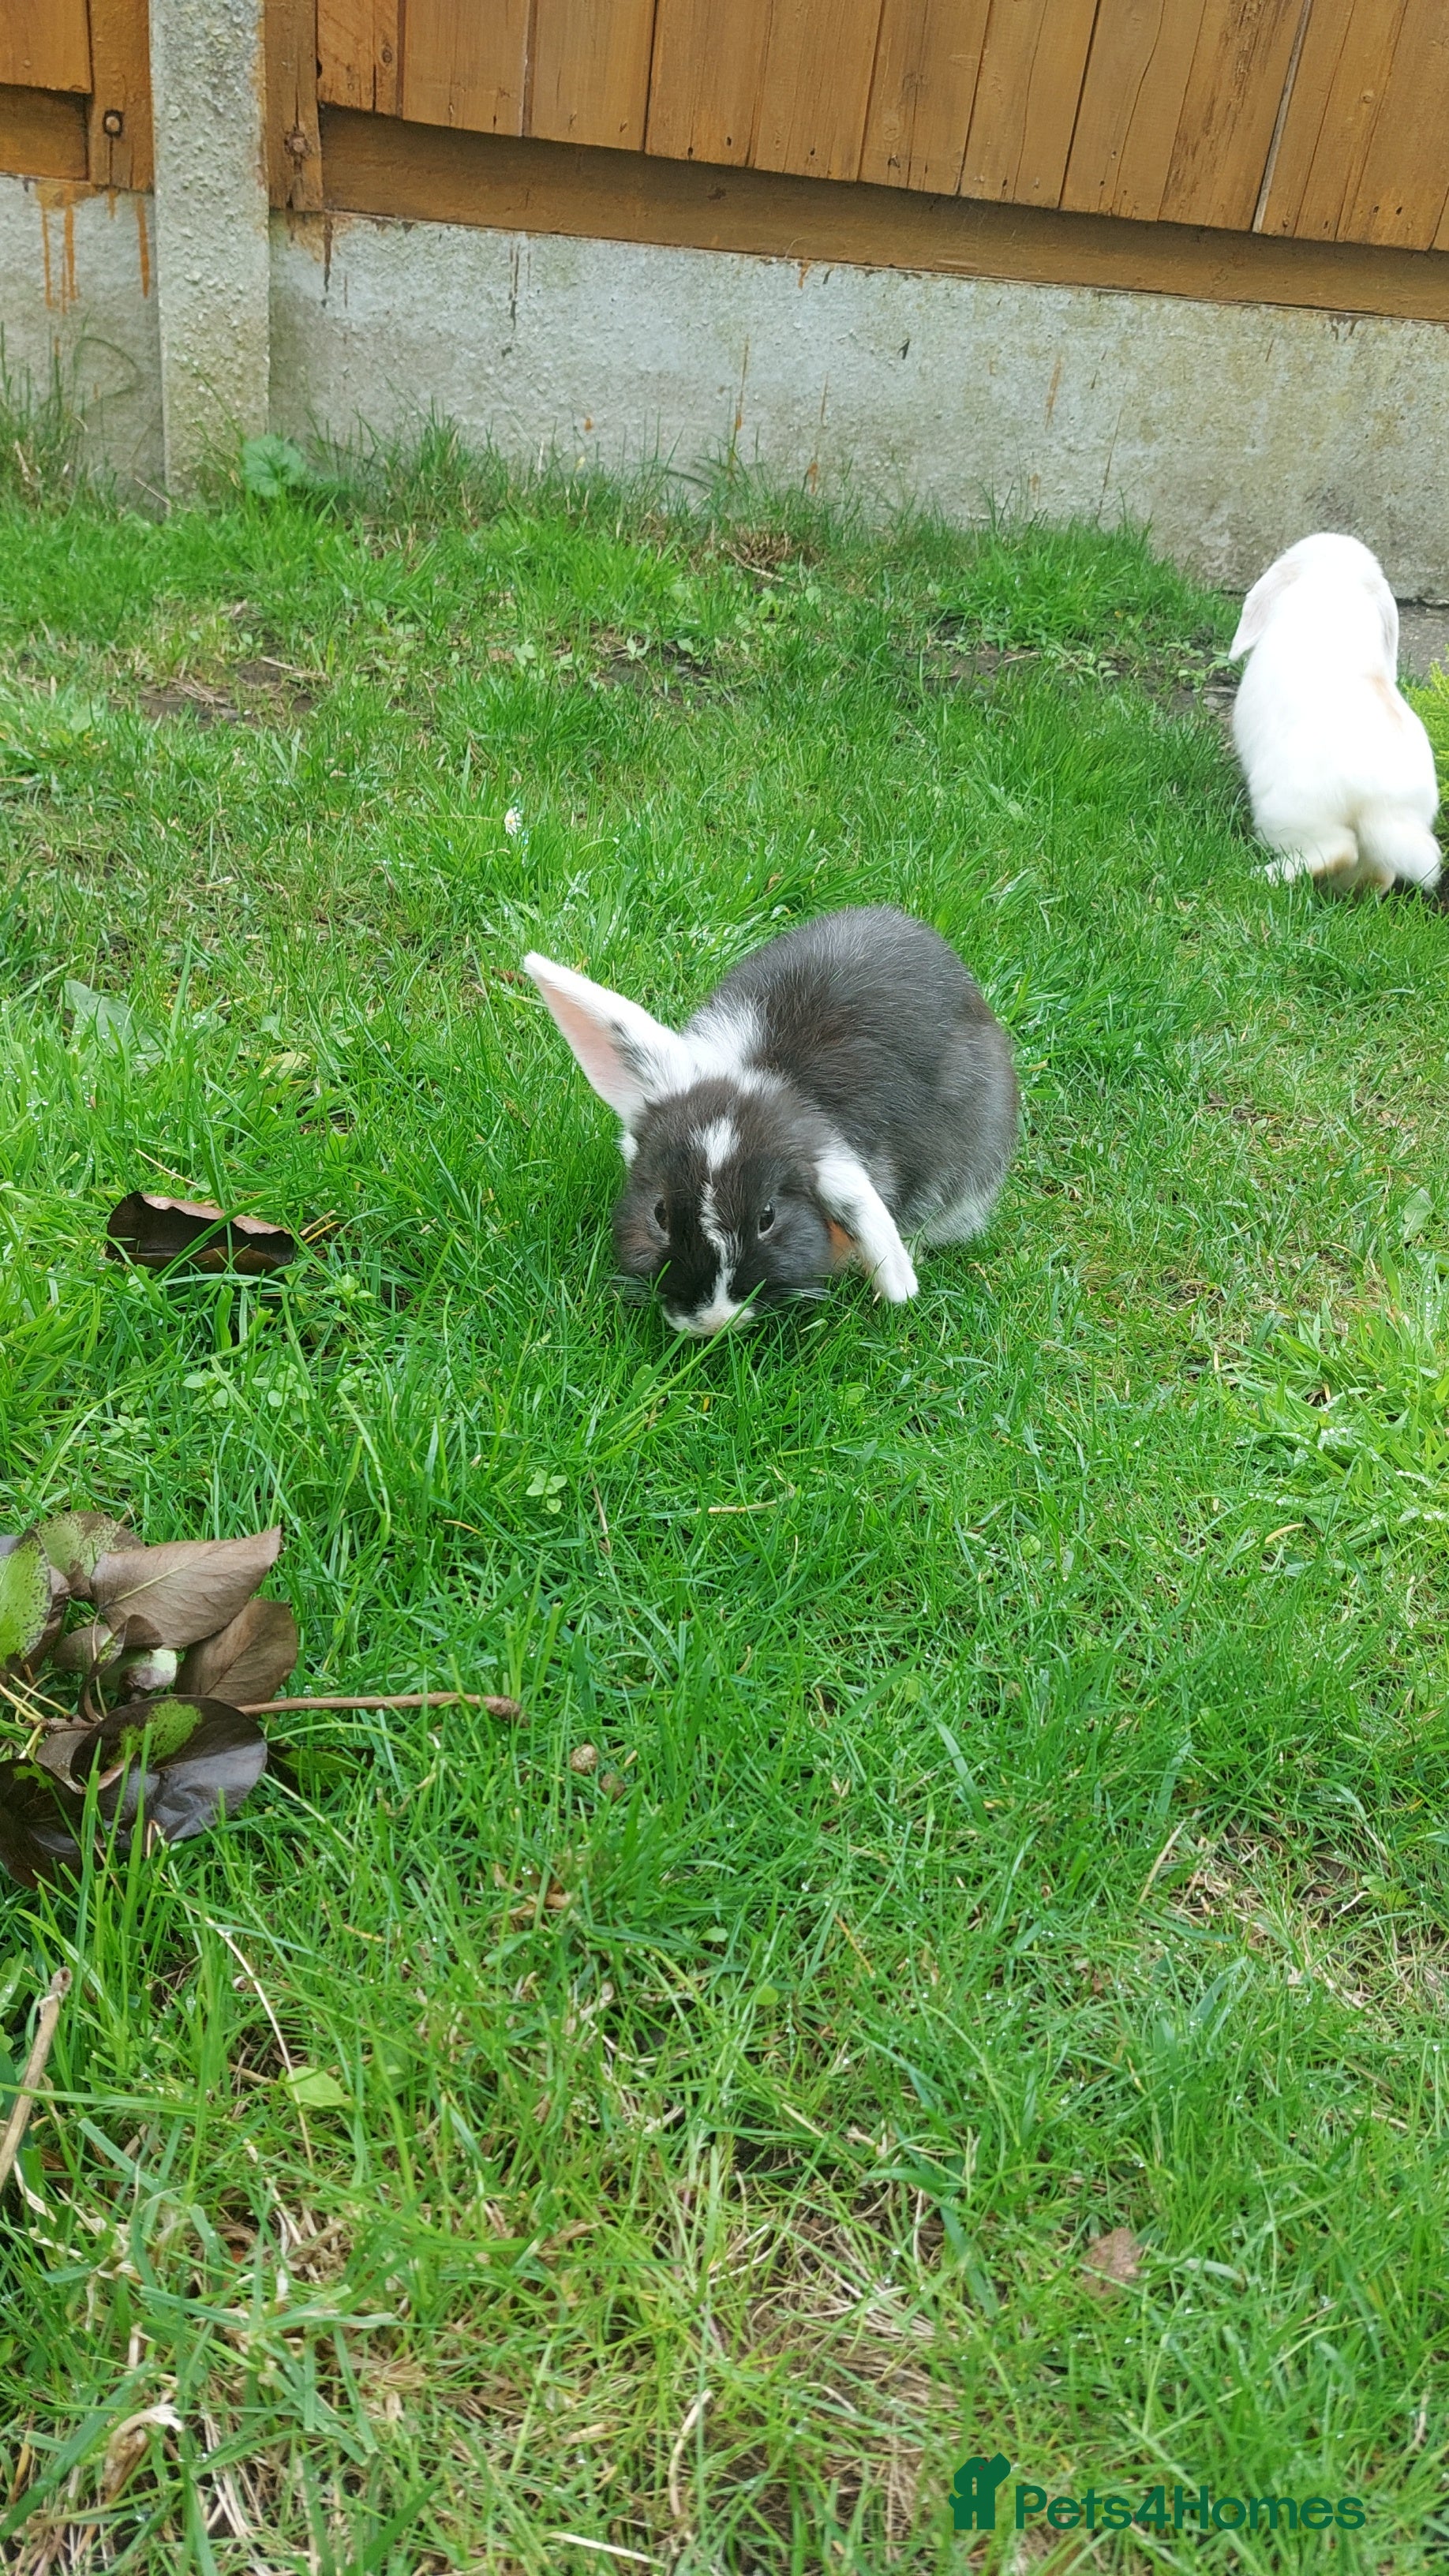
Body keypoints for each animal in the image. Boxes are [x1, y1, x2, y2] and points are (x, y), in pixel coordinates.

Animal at [1230, 532, 1441, 896]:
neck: (1336, 581)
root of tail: (1385, 808)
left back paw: (1262, 875)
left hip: (1288, 809)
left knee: (1336, 852)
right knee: (1376, 876)